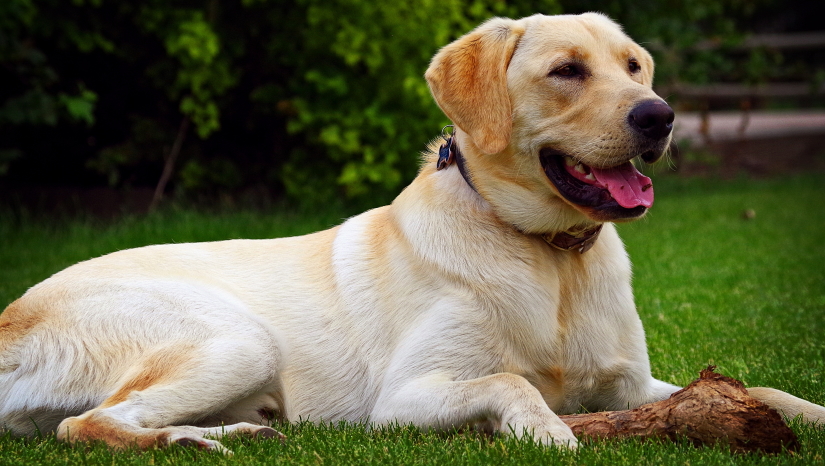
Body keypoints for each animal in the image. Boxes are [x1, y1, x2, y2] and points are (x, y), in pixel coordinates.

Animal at [1, 13, 824, 452]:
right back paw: (187, 443)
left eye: (633, 66)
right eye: (566, 71)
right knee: (85, 425)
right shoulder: (403, 400)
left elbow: (757, 387)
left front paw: (809, 414)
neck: (549, 257)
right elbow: (508, 381)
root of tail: (11, 318)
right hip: (235, 338)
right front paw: (550, 431)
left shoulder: (631, 385)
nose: (659, 116)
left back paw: (230, 437)